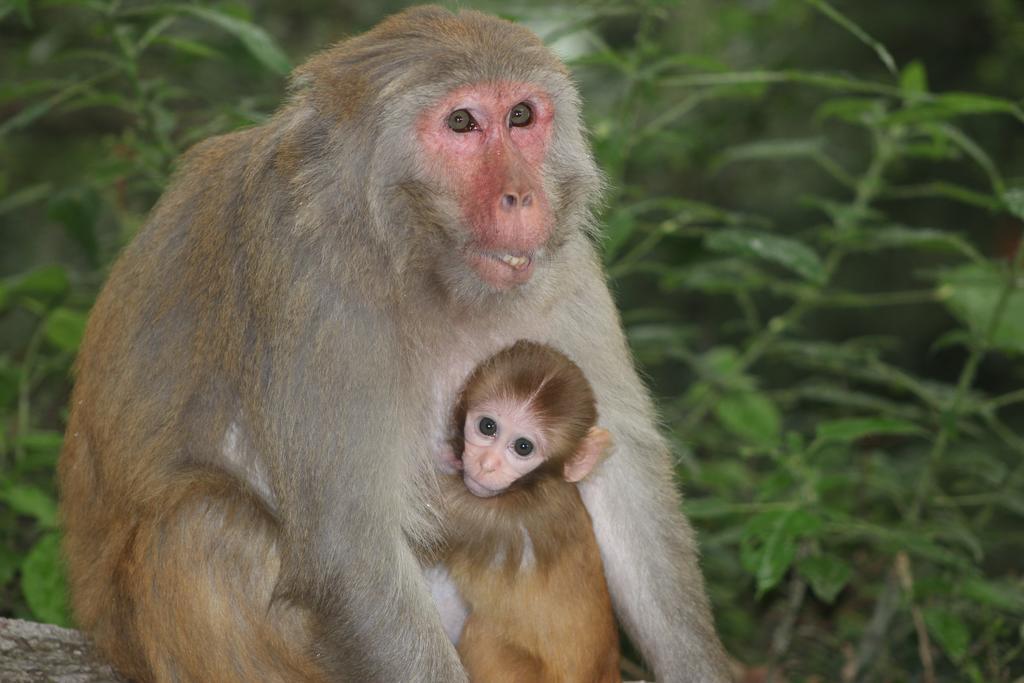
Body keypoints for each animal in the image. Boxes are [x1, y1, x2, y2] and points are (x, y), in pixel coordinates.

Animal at [438, 342, 614, 683]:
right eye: (488, 427)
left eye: (523, 447)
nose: (487, 465)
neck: (535, 486)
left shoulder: (488, 518)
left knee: (484, 634)